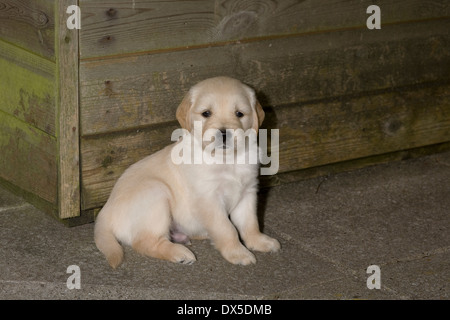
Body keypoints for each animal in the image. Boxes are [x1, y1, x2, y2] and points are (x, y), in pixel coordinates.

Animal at [93, 77, 280, 268]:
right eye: (206, 113)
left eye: (239, 113)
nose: (224, 134)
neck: (227, 159)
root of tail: (104, 212)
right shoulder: (209, 199)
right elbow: (226, 228)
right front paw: (237, 252)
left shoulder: (247, 192)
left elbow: (250, 223)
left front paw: (259, 241)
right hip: (156, 192)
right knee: (145, 242)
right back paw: (179, 253)